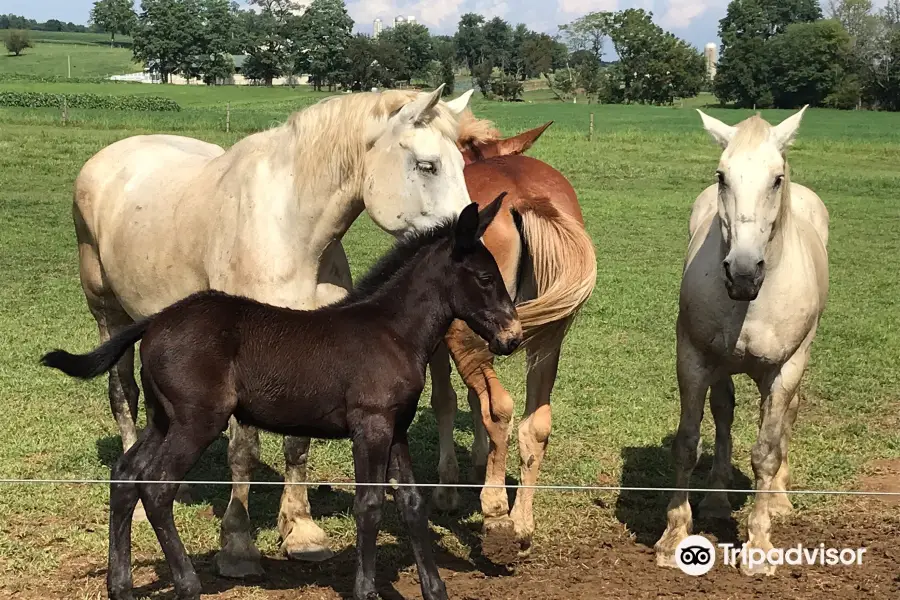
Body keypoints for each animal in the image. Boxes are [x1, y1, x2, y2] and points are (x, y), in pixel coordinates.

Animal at [42, 197, 520, 600]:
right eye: (484, 278)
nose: (512, 338)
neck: (391, 330)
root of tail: (156, 321)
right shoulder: (370, 426)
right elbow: (368, 504)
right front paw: (366, 590)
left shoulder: (395, 427)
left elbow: (412, 504)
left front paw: (435, 589)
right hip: (198, 421)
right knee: (157, 486)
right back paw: (187, 584)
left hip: (165, 418)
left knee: (125, 475)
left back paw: (120, 585)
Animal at [70, 84, 474, 576]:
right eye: (427, 164)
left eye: (462, 164)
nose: (475, 238)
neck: (292, 233)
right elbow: (244, 452)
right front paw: (238, 544)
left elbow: (297, 445)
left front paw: (300, 530)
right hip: (108, 314)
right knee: (123, 394)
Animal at [428, 110, 596, 560]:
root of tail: (525, 198)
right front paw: (477, 458)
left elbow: (446, 400)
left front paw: (448, 486)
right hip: (548, 337)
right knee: (535, 424)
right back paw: (521, 523)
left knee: (500, 407)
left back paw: (495, 509)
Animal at [652, 108, 828, 576]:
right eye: (722, 176)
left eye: (777, 178)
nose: (743, 272)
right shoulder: (694, 358)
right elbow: (687, 444)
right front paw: (673, 535)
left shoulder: (784, 370)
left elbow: (766, 451)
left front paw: (759, 547)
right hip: (721, 366)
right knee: (725, 413)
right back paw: (715, 499)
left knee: (785, 420)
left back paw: (780, 499)